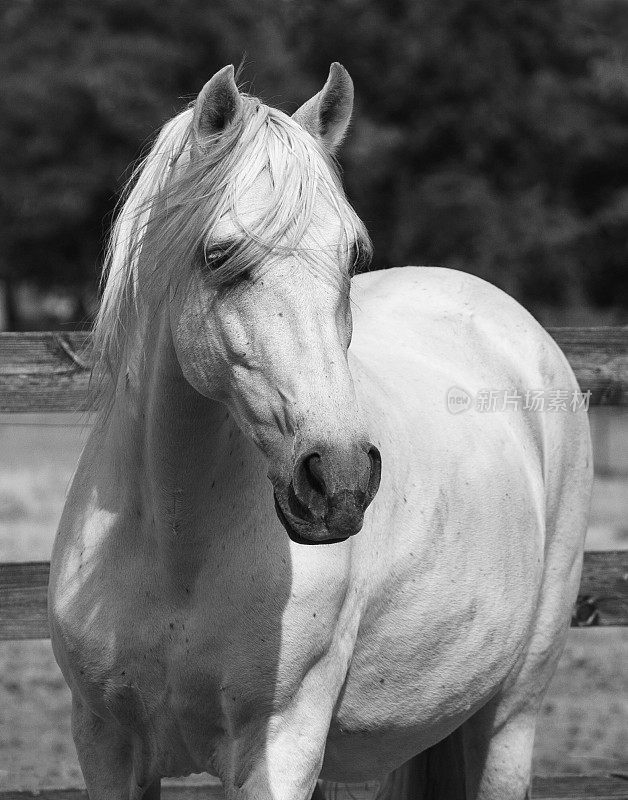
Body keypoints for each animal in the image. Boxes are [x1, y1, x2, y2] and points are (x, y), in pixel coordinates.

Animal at [50, 65, 592, 800]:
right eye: (217, 254)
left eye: (352, 255)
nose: (339, 480)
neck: (172, 545)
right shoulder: (106, 746)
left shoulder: (279, 747)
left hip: (511, 714)